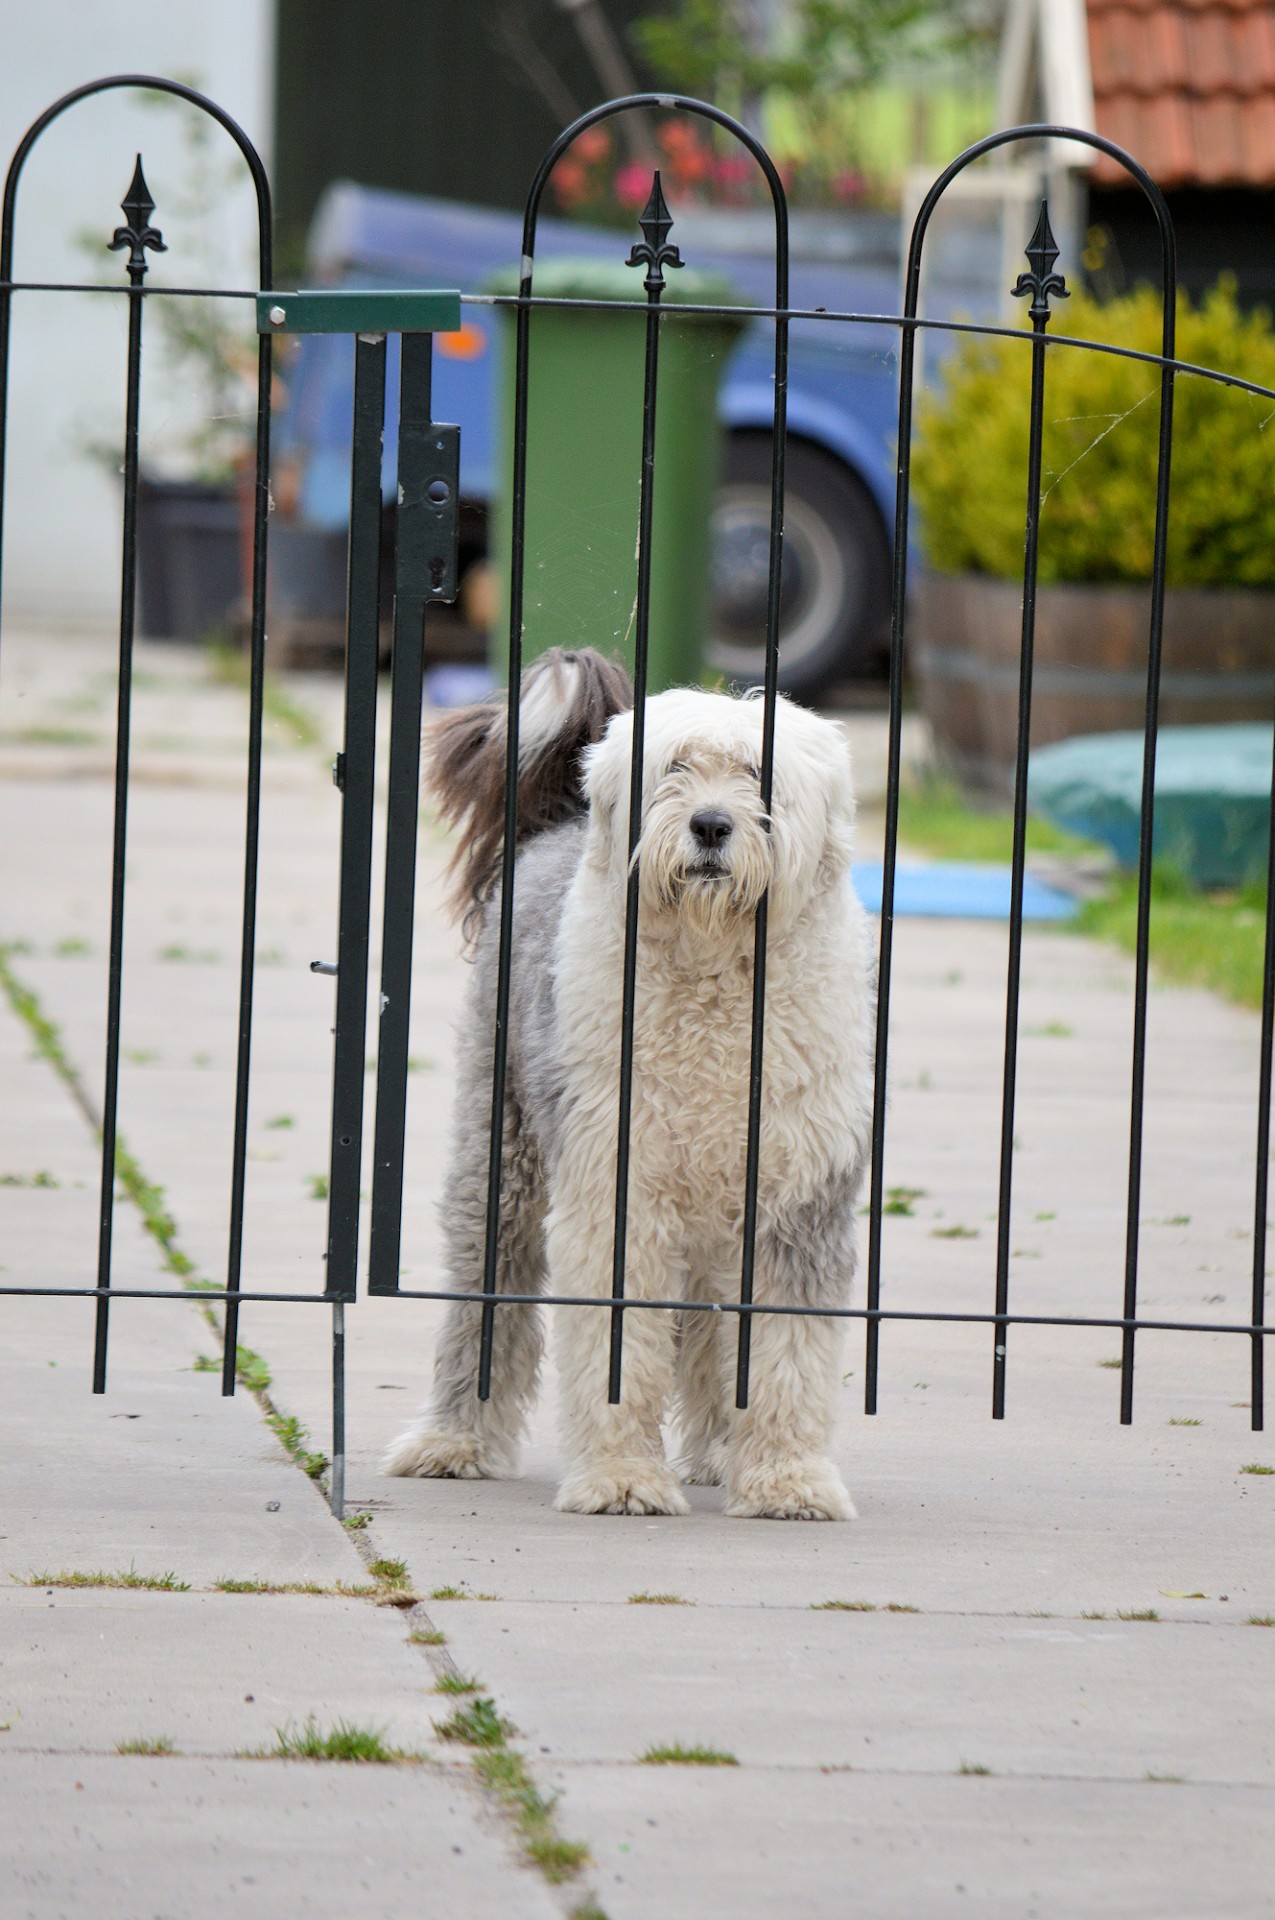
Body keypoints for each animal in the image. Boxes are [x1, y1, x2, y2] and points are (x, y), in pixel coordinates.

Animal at [380, 652, 875, 1520]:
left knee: (709, 1331)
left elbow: (785, 1354)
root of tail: (558, 823)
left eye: (757, 774)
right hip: (502, 1155)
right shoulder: (619, 1190)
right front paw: (620, 1479)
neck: (714, 987)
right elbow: (620, 1349)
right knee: (483, 1298)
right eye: (674, 768)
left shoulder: (795, 1202)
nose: (709, 826)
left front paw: (787, 1481)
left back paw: (716, 1452)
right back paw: (453, 1441)